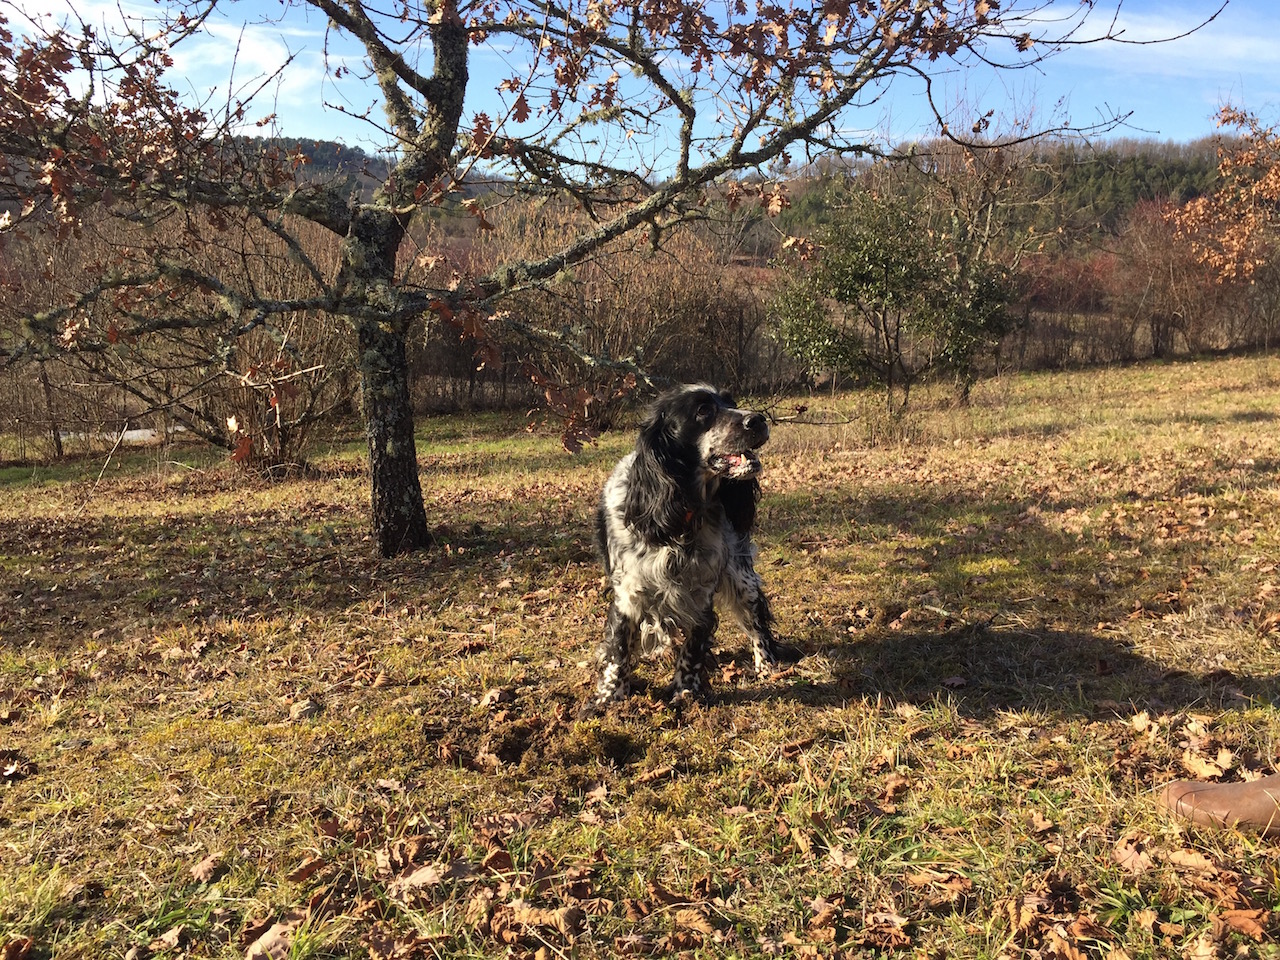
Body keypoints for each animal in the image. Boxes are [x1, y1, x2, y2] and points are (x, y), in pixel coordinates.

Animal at [586, 386, 788, 711]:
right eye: (703, 410)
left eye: (731, 403)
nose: (757, 419)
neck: (681, 517)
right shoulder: (627, 596)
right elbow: (618, 652)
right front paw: (609, 698)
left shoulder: (700, 598)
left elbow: (692, 650)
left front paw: (685, 691)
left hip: (742, 578)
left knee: (757, 622)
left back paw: (767, 665)